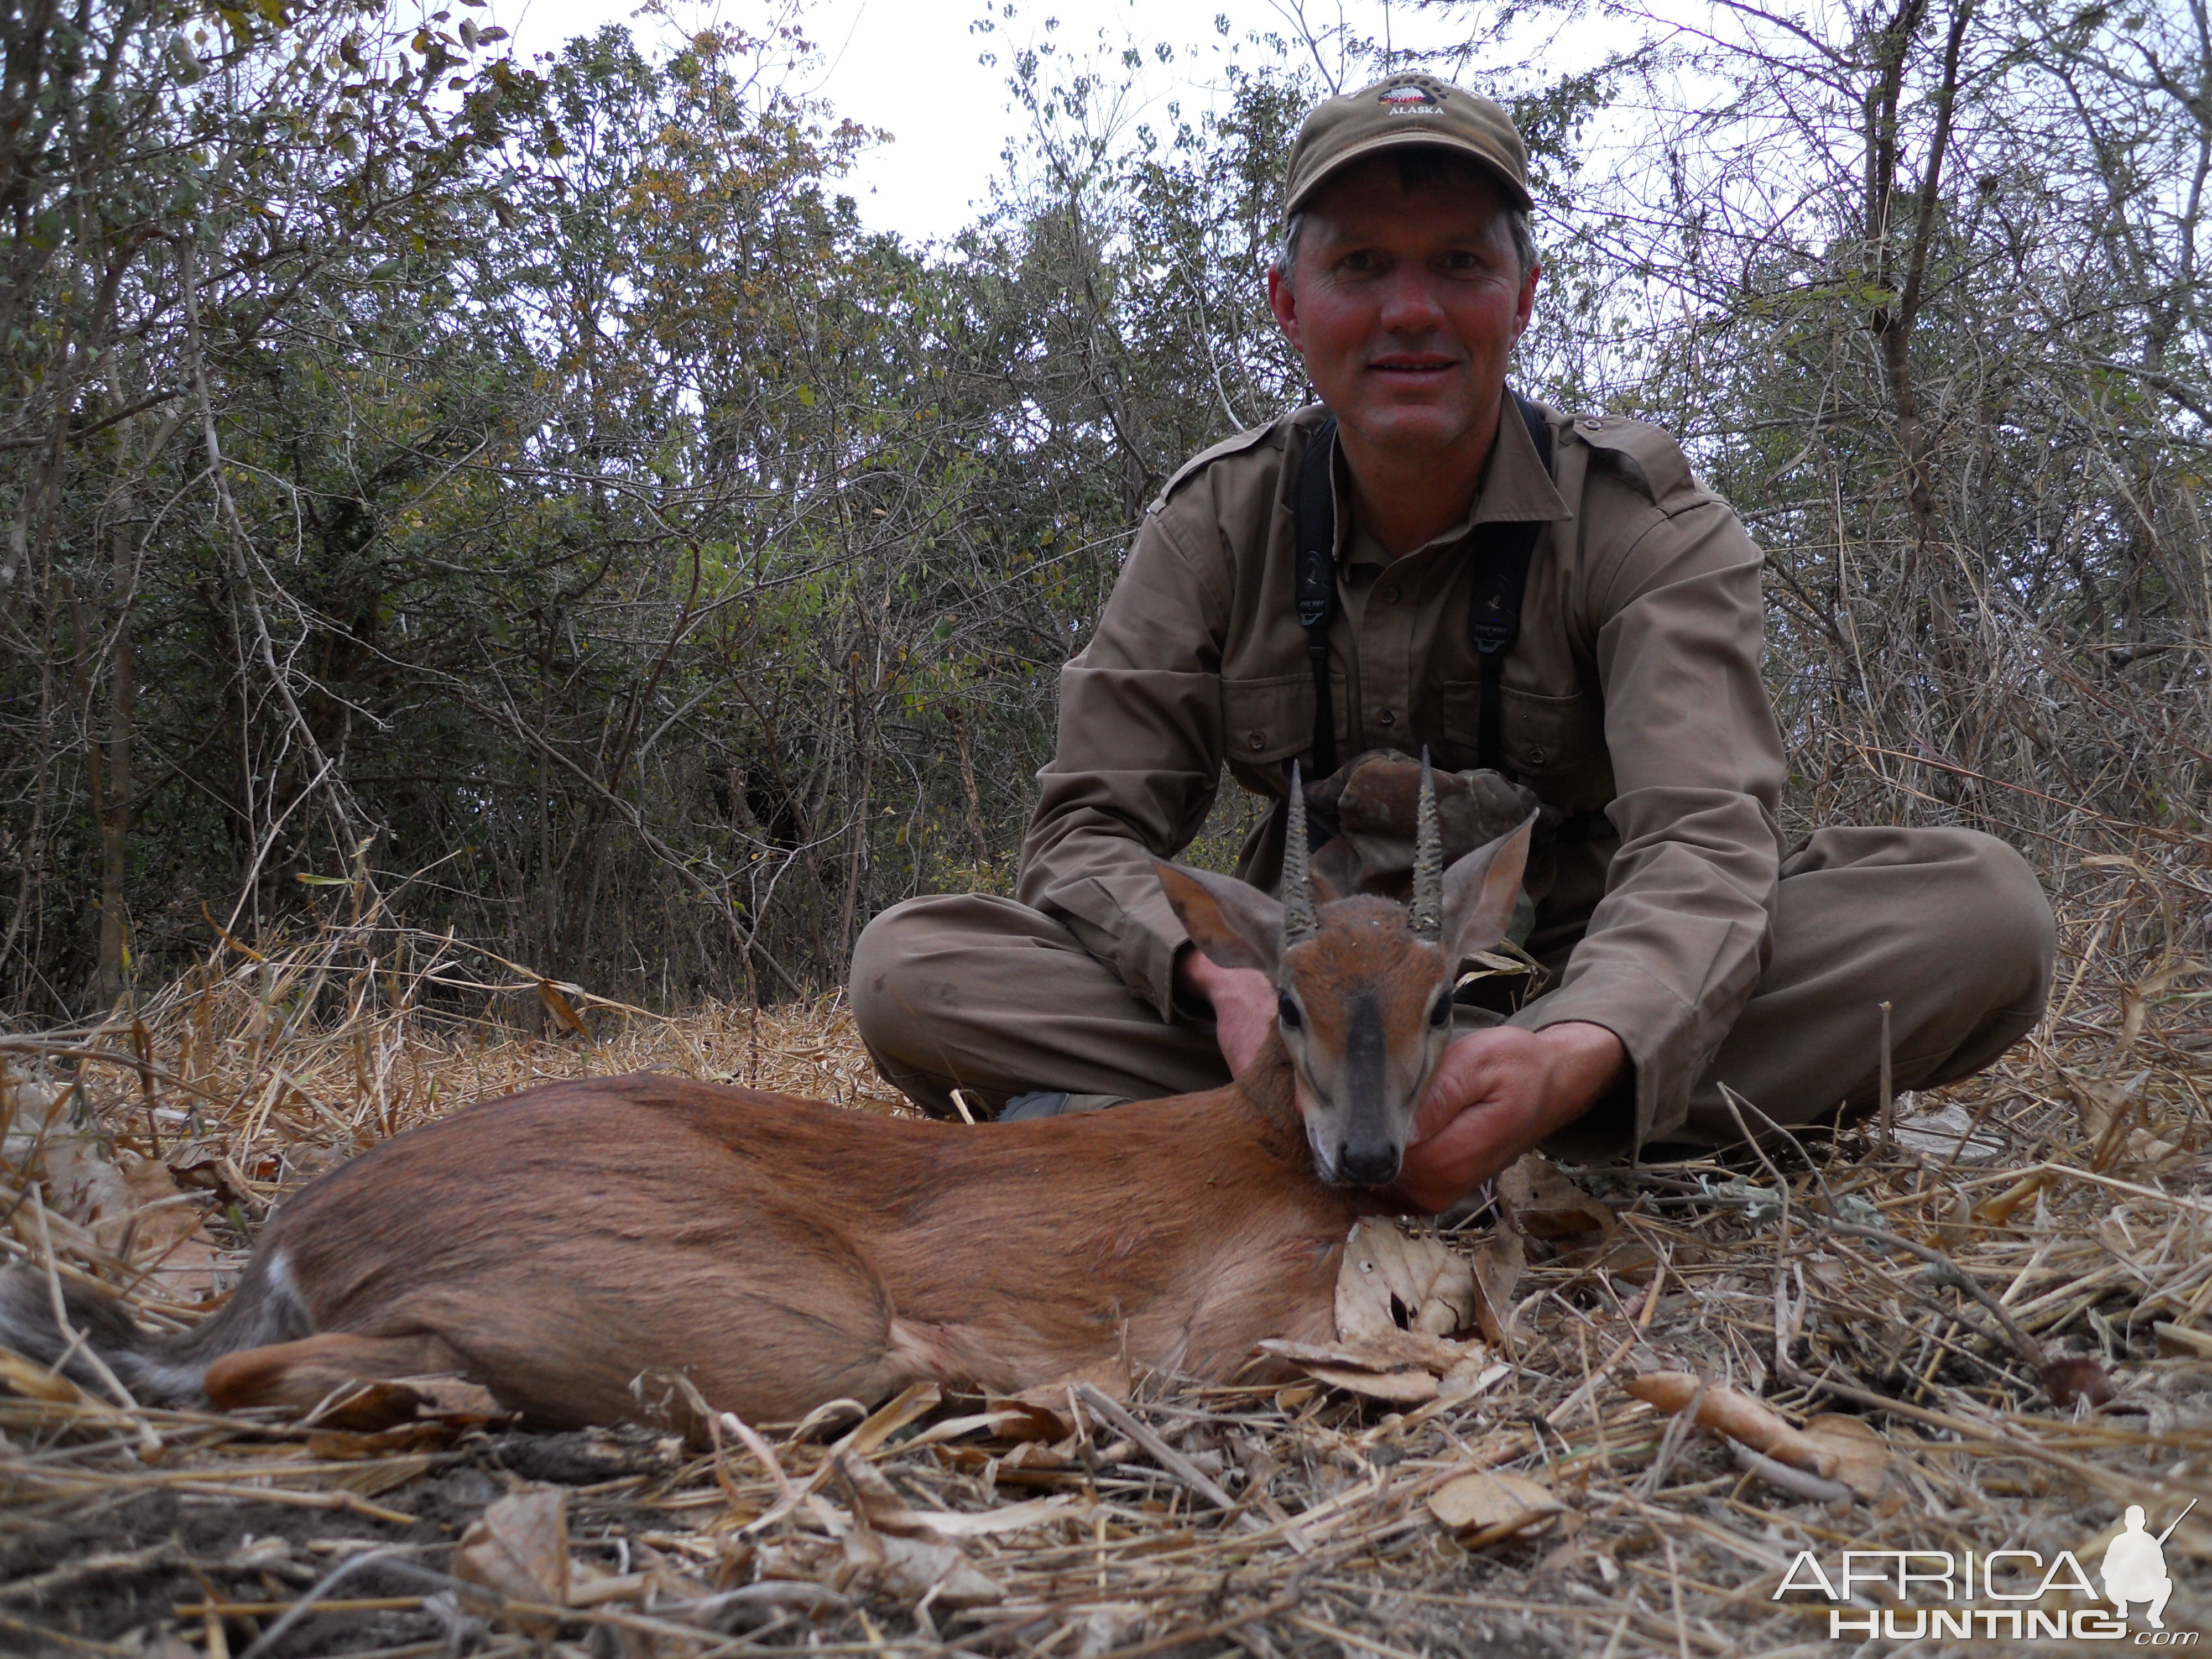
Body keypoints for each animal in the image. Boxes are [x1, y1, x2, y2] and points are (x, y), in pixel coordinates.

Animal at [0, 765, 1531, 1433]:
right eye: (1286, 999)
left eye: (1448, 995)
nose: (1368, 1149)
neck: (1267, 1141)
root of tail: (286, 1236)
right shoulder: (1239, 1312)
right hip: (783, 1316)